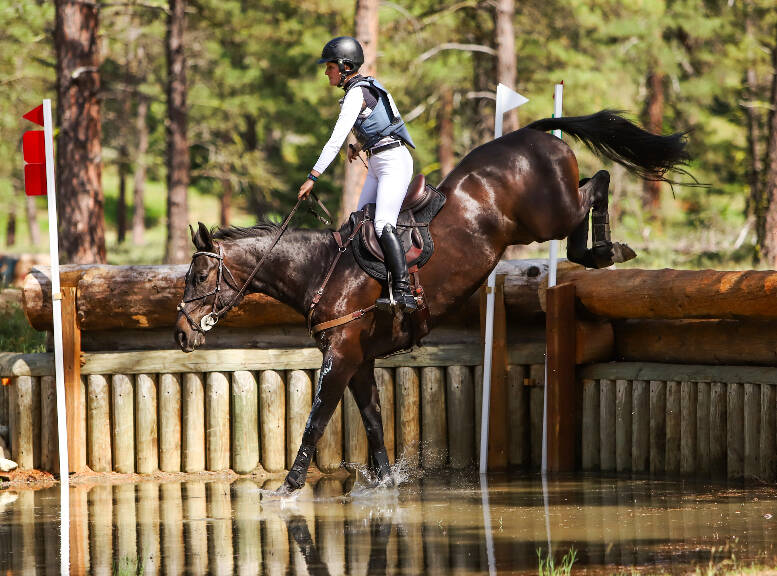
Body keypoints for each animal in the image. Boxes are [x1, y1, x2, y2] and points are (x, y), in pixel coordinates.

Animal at [175, 110, 690, 493]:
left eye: (198, 275)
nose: (180, 334)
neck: (322, 271)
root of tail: (530, 132)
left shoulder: (340, 356)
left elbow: (317, 420)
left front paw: (287, 489)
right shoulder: (358, 359)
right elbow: (374, 424)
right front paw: (385, 484)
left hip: (547, 215)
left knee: (597, 183)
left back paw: (604, 249)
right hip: (538, 221)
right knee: (592, 189)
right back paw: (599, 250)